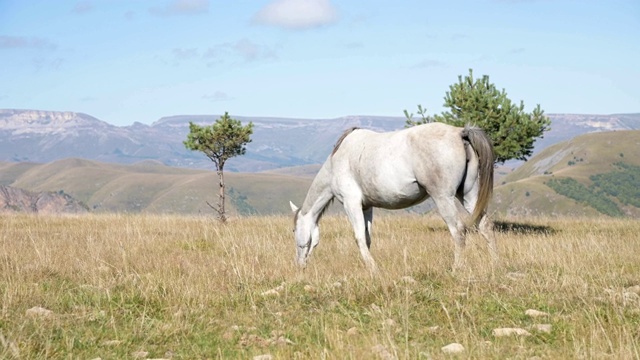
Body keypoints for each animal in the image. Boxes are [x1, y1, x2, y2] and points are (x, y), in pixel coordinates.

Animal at [288, 122, 498, 272]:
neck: (336, 161)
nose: (299, 265)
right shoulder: (366, 207)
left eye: (294, 230)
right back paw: (493, 263)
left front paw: (373, 269)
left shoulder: (351, 204)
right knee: (485, 226)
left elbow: (359, 237)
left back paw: (456, 268)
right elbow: (367, 238)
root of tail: (459, 132)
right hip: (469, 195)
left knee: (458, 231)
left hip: (443, 197)